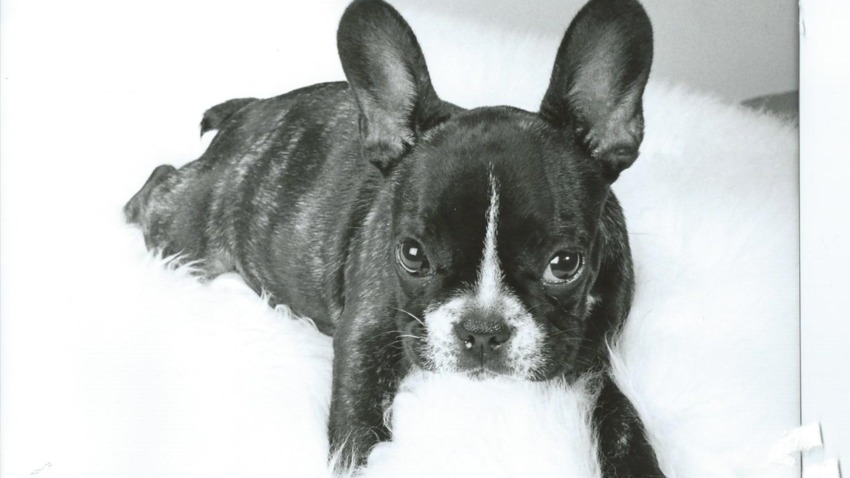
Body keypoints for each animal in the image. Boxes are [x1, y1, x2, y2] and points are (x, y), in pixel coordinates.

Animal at [125, 0, 662, 475]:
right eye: (412, 255)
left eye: (565, 263)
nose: (482, 330)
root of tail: (250, 112)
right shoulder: (368, 333)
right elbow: (358, 426)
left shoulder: (599, 361)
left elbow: (625, 424)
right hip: (189, 231)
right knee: (160, 183)